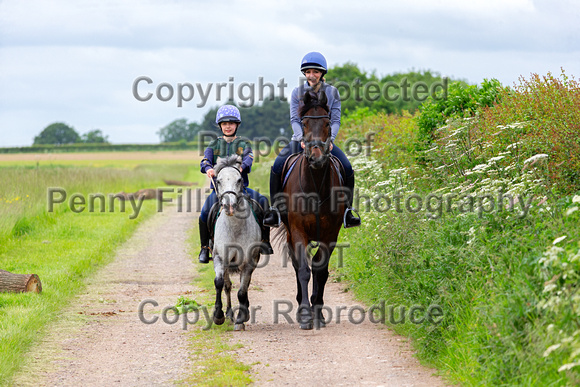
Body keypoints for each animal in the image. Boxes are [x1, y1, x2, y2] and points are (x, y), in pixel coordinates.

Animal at [276, 91, 344, 330]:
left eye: (327, 123)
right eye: (304, 123)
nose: (316, 156)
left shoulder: (330, 234)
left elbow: (320, 270)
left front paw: (318, 314)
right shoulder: (298, 231)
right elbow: (305, 270)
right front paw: (305, 315)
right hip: (289, 233)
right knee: (298, 266)